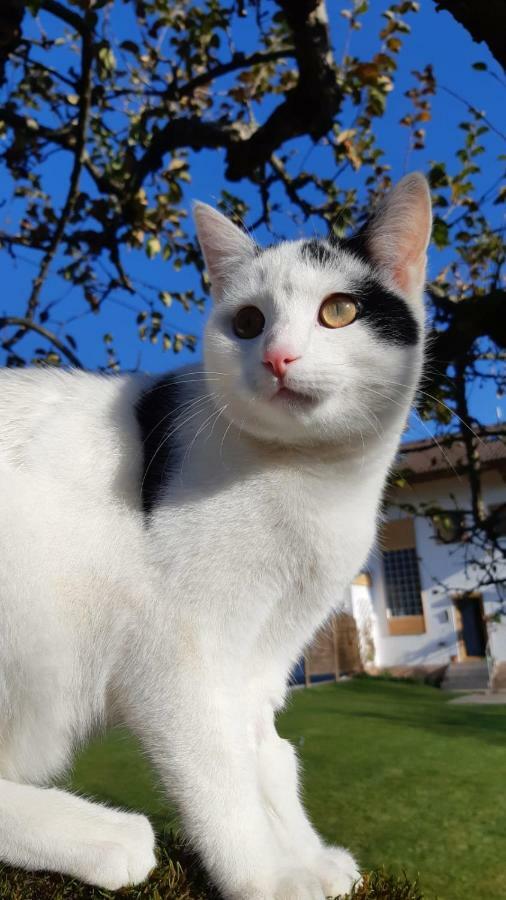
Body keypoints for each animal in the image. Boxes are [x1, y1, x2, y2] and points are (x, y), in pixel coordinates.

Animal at [0, 172, 430, 896]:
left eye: (339, 311)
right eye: (248, 323)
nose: (278, 357)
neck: (311, 481)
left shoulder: (263, 659)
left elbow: (270, 759)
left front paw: (307, 857)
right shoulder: (177, 657)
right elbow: (221, 777)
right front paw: (266, 879)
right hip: (39, 632)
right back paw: (100, 836)